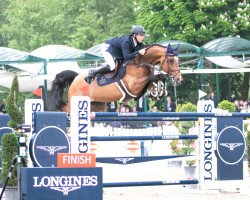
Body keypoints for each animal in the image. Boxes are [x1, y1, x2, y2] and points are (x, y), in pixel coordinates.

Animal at [49, 43, 183, 112]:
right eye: (171, 60)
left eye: (178, 60)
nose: (179, 79)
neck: (139, 63)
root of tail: (76, 78)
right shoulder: (133, 86)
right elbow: (153, 77)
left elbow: (156, 79)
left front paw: (157, 93)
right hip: (76, 102)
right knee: (65, 108)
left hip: (96, 105)